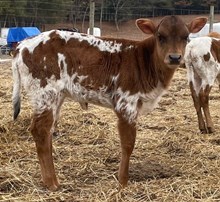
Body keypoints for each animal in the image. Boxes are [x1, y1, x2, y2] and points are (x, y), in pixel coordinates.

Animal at [12, 15, 207, 189]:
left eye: (186, 36)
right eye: (160, 36)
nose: (175, 57)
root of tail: (23, 45)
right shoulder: (126, 103)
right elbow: (128, 143)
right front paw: (123, 182)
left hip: (56, 97)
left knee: (48, 131)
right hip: (45, 93)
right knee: (40, 130)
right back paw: (51, 183)